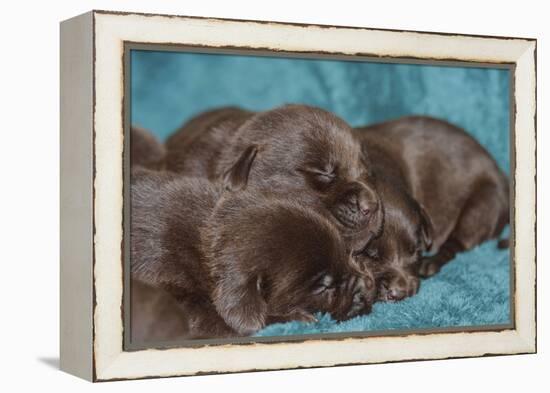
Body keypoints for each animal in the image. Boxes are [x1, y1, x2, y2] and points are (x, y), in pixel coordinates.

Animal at [356, 115, 512, 286]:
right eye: (372, 255)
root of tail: (505, 181)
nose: (401, 290)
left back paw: (430, 264)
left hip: (481, 209)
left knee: (455, 245)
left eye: (416, 249)